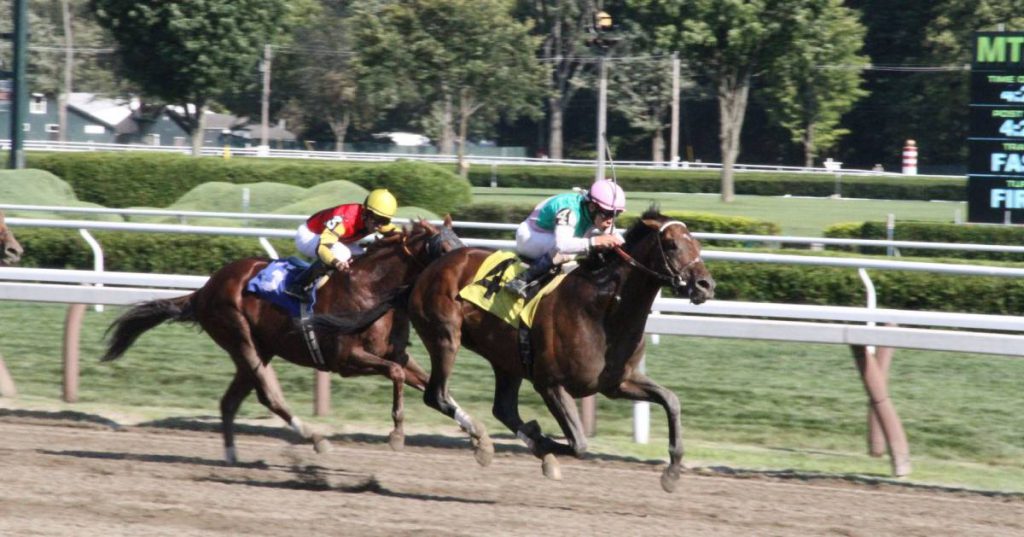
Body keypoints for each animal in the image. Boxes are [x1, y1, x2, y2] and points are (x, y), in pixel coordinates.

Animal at [101, 218, 462, 461]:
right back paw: (315, 438)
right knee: (269, 396)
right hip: (241, 339)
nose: (465, 275)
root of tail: (204, 289)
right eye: (444, 248)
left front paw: (470, 430)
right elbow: (398, 375)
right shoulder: (346, 360)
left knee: (230, 401)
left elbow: (431, 385)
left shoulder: (397, 354)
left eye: (458, 242)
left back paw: (232, 455)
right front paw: (397, 434)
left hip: (260, 348)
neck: (371, 289)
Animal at [405, 208, 712, 493]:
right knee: (437, 395)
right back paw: (481, 440)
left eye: (696, 243)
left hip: (505, 359)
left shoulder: (617, 383)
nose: (705, 285)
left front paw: (672, 472)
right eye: (671, 244)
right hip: (445, 338)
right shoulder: (550, 384)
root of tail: (439, 261)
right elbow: (578, 444)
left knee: (503, 408)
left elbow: (671, 400)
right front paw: (540, 441)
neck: (600, 310)